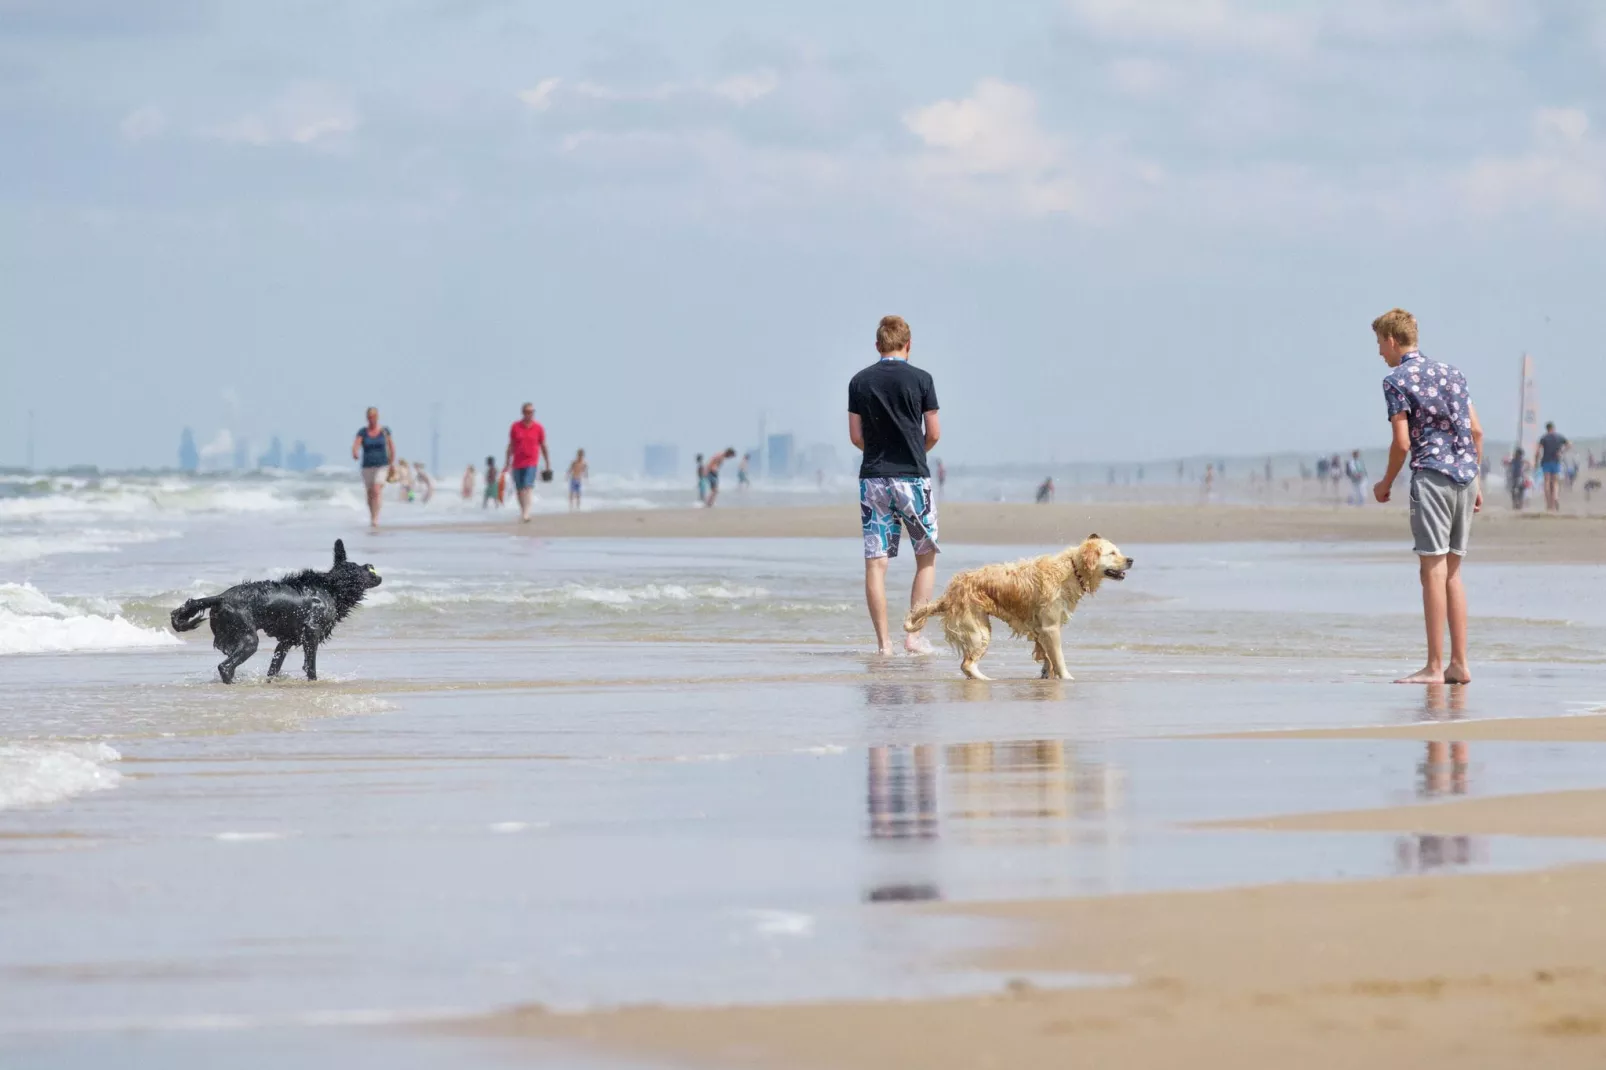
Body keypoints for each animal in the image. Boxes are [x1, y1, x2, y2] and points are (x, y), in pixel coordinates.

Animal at [170, 536, 382, 677]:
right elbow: (310, 667)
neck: (331, 587)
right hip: (248, 639)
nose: (373, 568)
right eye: (366, 569)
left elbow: (275, 666)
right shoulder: (311, 632)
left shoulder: (287, 640)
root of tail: (220, 597)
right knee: (226, 667)